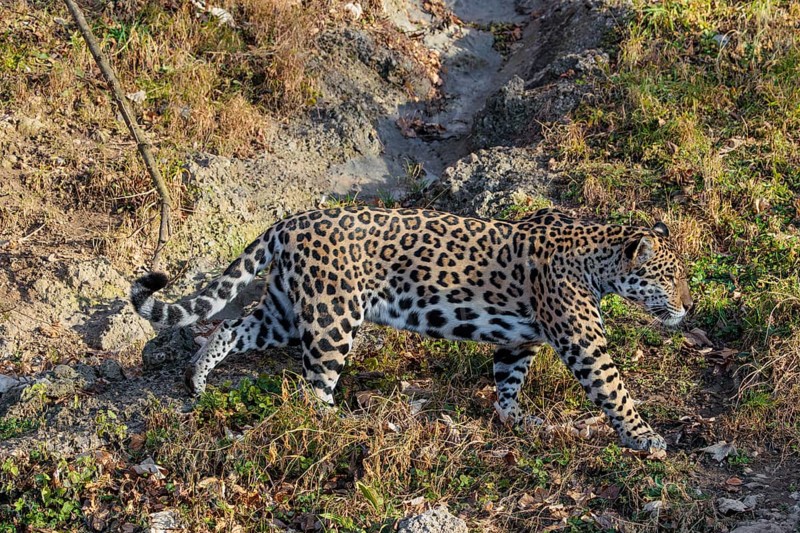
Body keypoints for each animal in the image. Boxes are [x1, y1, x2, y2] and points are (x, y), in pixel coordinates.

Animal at [130, 206, 692, 450]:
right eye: (670, 277)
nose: (689, 306)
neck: (598, 257)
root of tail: (291, 220)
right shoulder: (582, 341)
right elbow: (614, 388)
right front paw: (645, 438)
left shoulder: (519, 340)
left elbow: (508, 382)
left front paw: (517, 421)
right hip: (334, 316)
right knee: (314, 386)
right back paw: (345, 425)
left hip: (286, 312)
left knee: (232, 327)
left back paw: (197, 377)